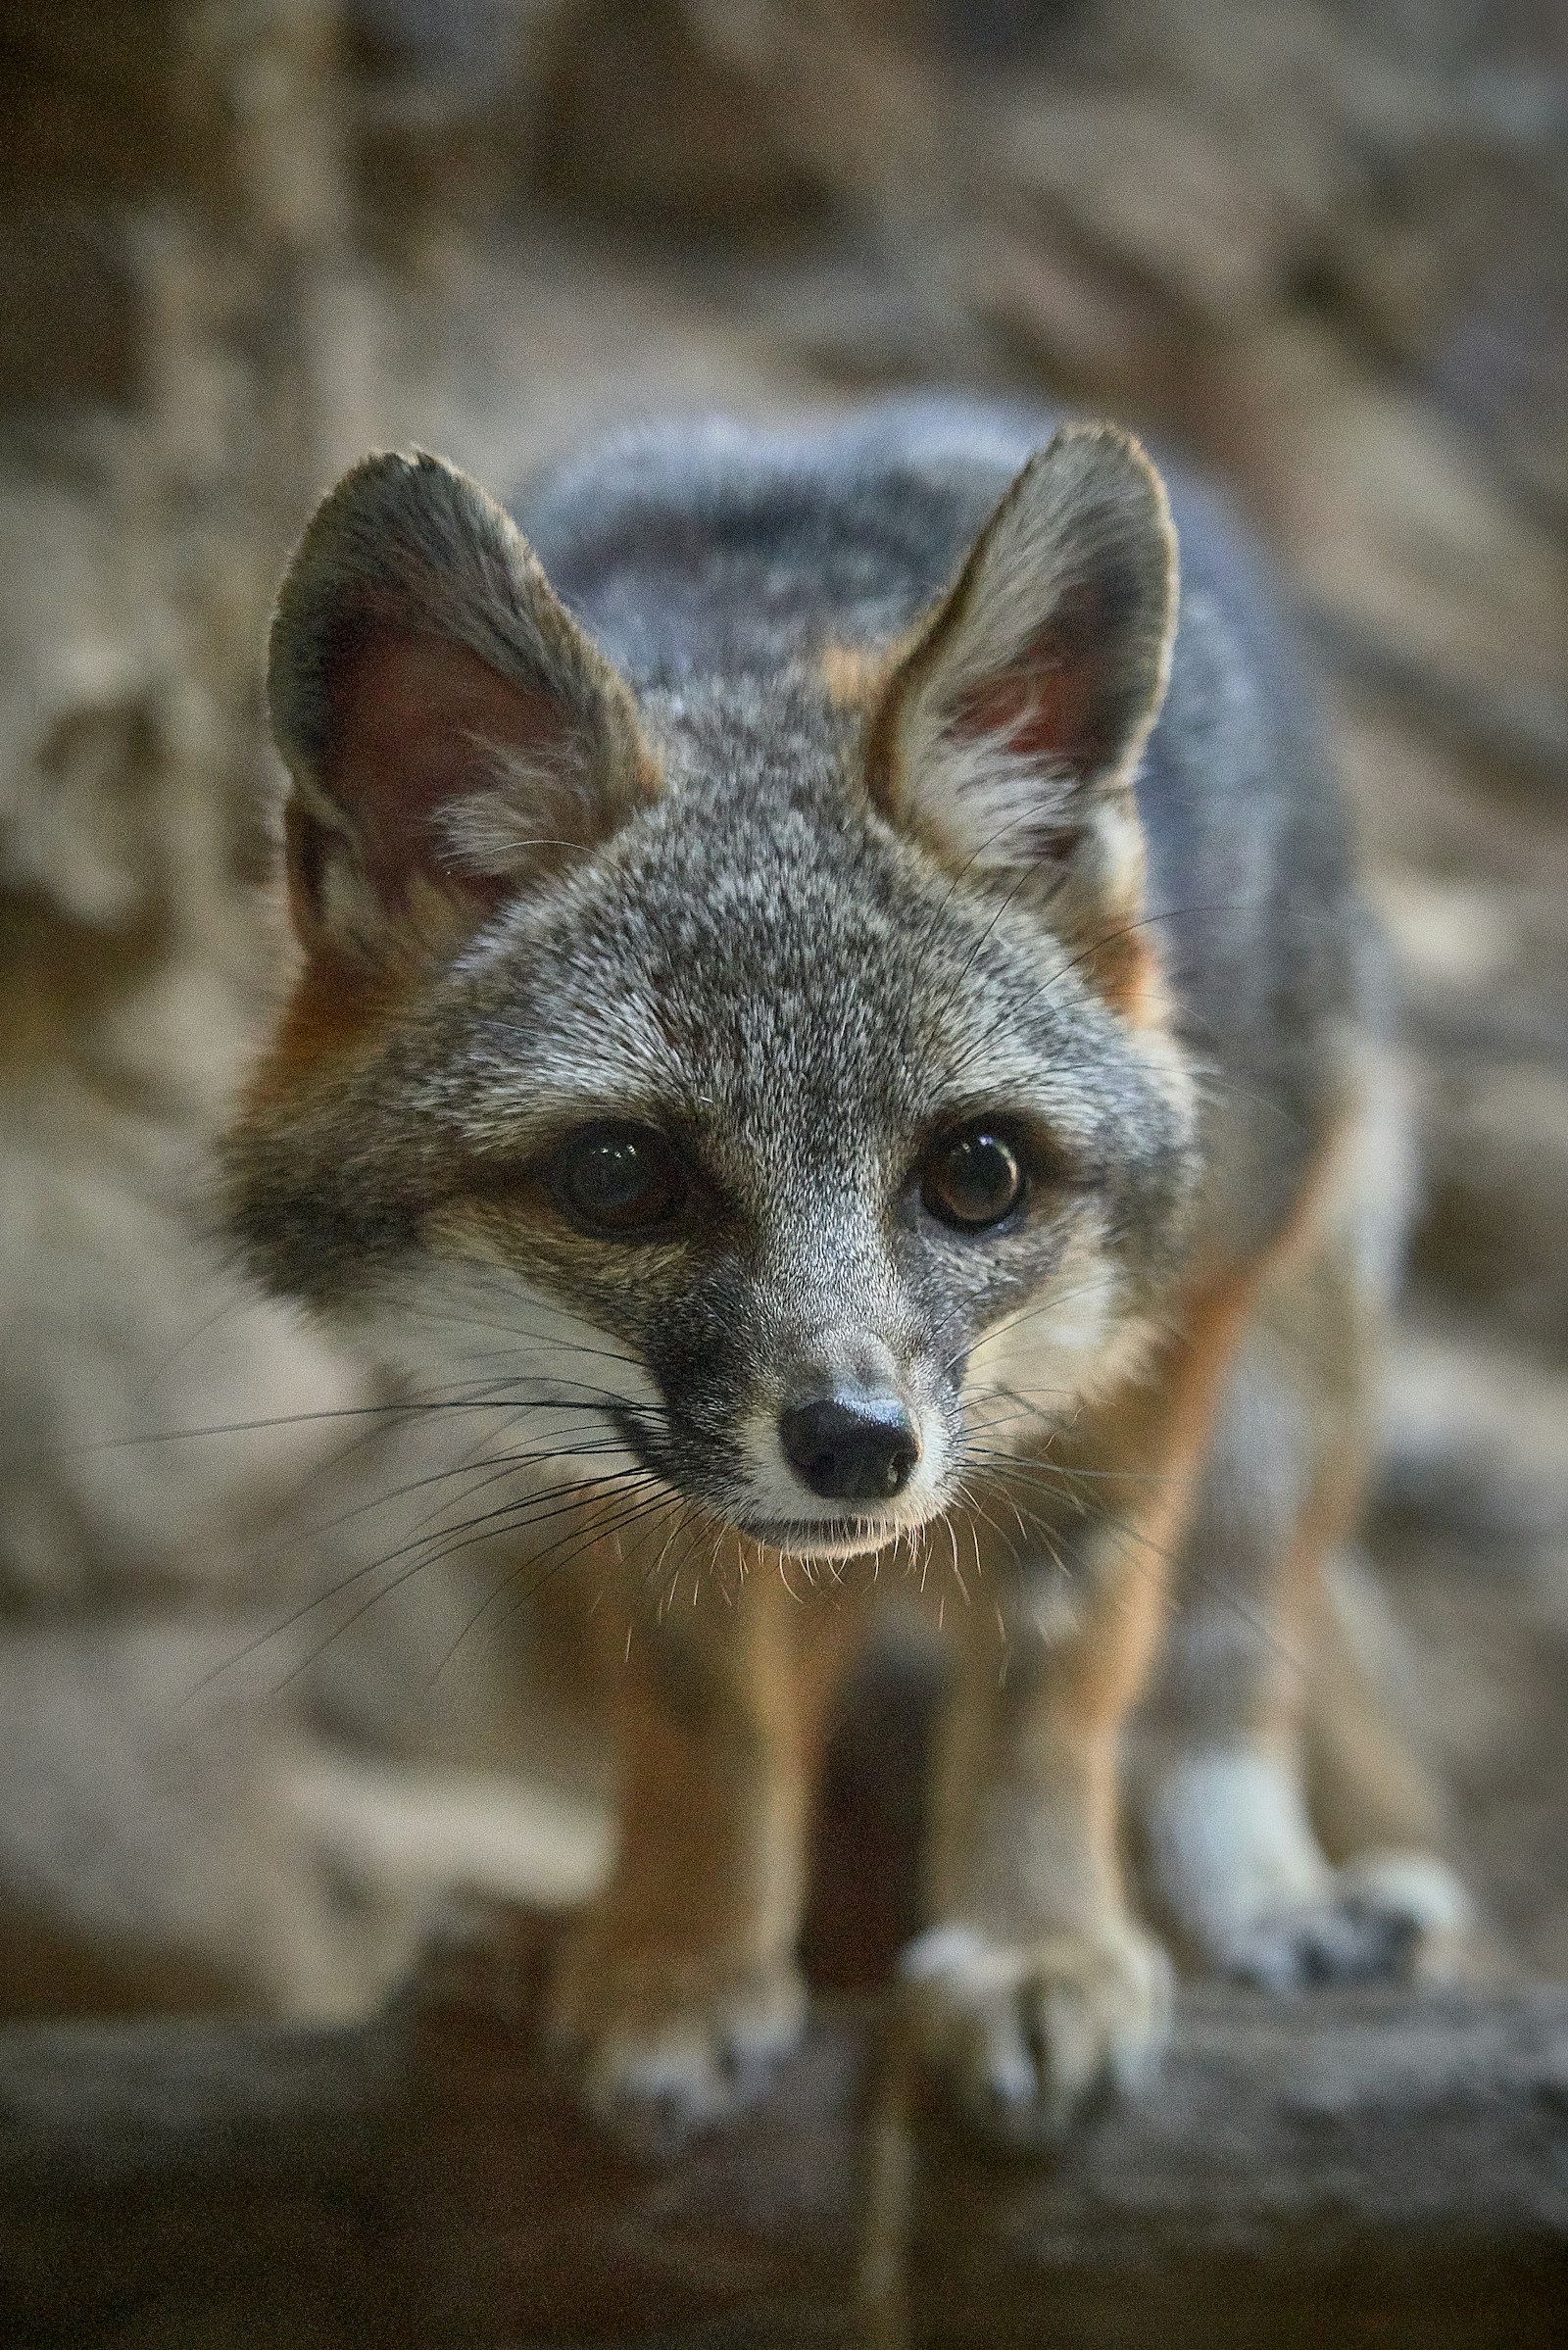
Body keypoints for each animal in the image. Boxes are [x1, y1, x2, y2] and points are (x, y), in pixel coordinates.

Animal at [222, 397, 1472, 2148]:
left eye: (979, 1174)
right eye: (621, 1177)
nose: (862, 1447)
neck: (767, 629)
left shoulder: (1162, 1341)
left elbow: (1060, 1680)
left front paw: (1031, 1942)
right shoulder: (641, 1481)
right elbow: (709, 1726)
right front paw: (675, 1961)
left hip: (1294, 1366)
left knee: (1222, 1676)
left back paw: (1273, 1904)